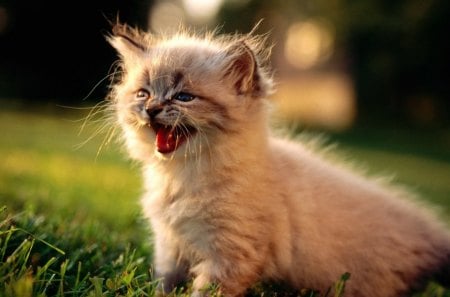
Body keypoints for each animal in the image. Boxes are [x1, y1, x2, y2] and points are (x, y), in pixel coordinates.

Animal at [106, 23, 450, 296]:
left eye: (184, 97)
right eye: (143, 93)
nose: (151, 109)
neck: (182, 175)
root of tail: (435, 234)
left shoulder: (230, 256)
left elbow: (204, 291)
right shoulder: (170, 246)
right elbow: (163, 284)